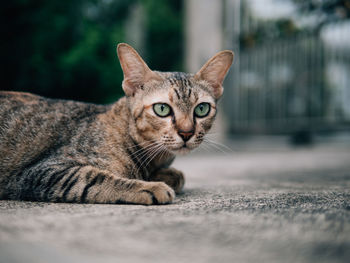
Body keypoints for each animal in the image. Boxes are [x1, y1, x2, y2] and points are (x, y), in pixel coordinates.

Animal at [0, 43, 235, 205]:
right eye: (162, 109)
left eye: (201, 109)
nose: (186, 132)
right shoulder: (43, 171)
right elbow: (92, 178)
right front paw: (148, 187)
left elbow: (180, 175)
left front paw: (163, 176)